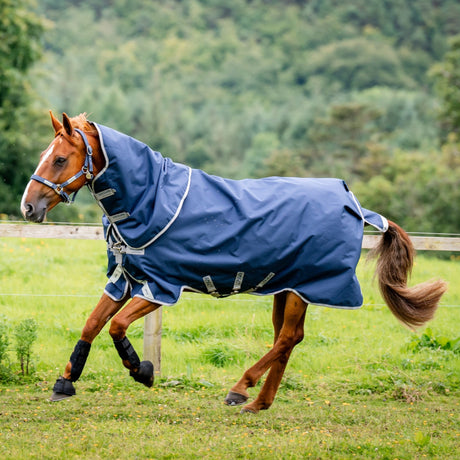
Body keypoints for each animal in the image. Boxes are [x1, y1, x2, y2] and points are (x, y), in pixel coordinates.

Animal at [20, 112, 446, 414]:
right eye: (43, 155)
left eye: (59, 158)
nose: (28, 207)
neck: (151, 200)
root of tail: (354, 203)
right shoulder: (126, 278)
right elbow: (92, 323)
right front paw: (65, 382)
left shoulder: (161, 286)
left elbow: (116, 326)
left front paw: (142, 370)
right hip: (287, 286)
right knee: (288, 338)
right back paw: (259, 403)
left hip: (304, 287)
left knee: (287, 338)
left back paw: (241, 389)